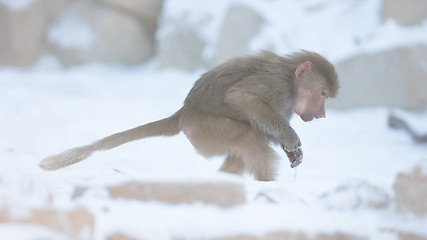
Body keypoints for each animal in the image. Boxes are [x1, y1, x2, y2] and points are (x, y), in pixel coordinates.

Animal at [41, 51, 342, 182]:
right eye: (322, 94)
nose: (323, 114)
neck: (291, 81)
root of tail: (184, 112)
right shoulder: (276, 85)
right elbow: (240, 98)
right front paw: (292, 141)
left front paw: (292, 149)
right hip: (205, 131)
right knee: (248, 136)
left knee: (244, 146)